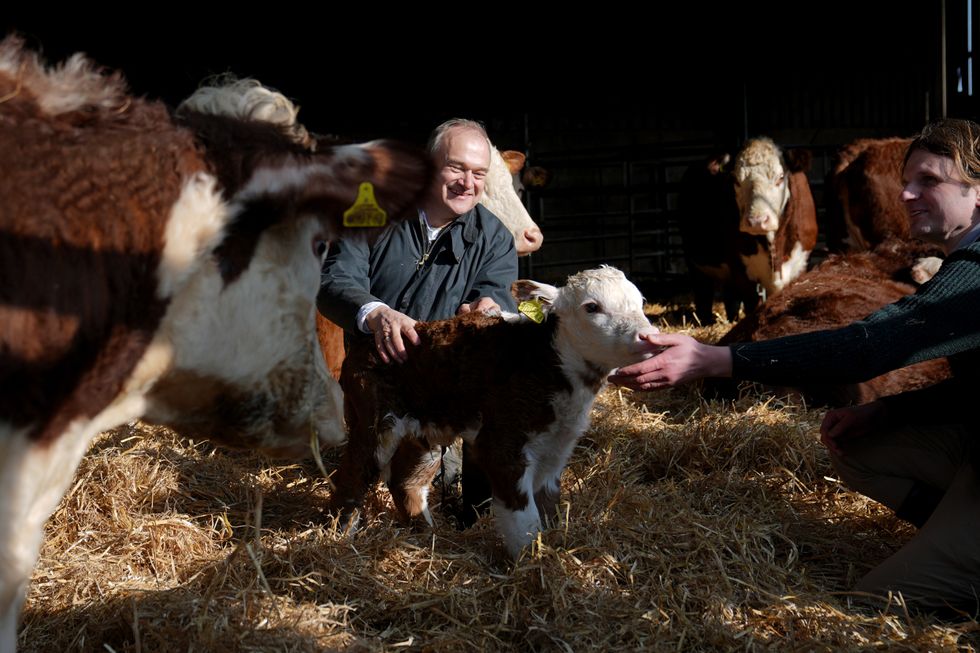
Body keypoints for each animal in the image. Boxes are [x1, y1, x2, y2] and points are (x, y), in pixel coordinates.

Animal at [330, 264, 660, 556]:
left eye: (640, 302)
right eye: (592, 306)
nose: (648, 336)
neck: (546, 360)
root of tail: (366, 343)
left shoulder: (558, 445)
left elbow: (548, 507)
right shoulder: (501, 445)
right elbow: (525, 522)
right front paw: (533, 565)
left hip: (424, 428)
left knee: (405, 482)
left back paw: (428, 534)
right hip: (374, 422)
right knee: (354, 473)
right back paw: (341, 538)